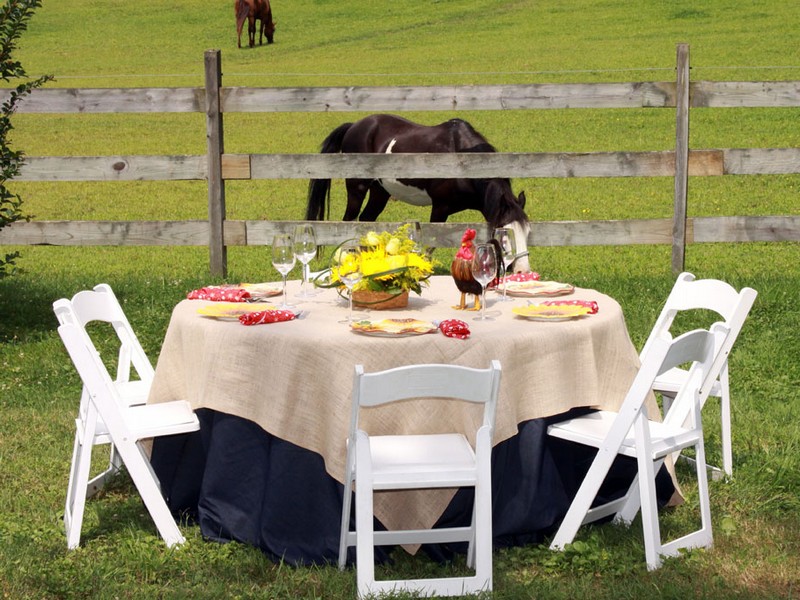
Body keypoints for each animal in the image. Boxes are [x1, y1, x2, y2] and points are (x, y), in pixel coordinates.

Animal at [304, 112, 528, 270]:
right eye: (505, 239)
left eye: (527, 233)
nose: (522, 271)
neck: (461, 159)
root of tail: (354, 126)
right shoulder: (440, 208)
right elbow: (429, 247)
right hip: (356, 188)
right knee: (348, 222)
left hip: (379, 192)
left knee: (366, 221)